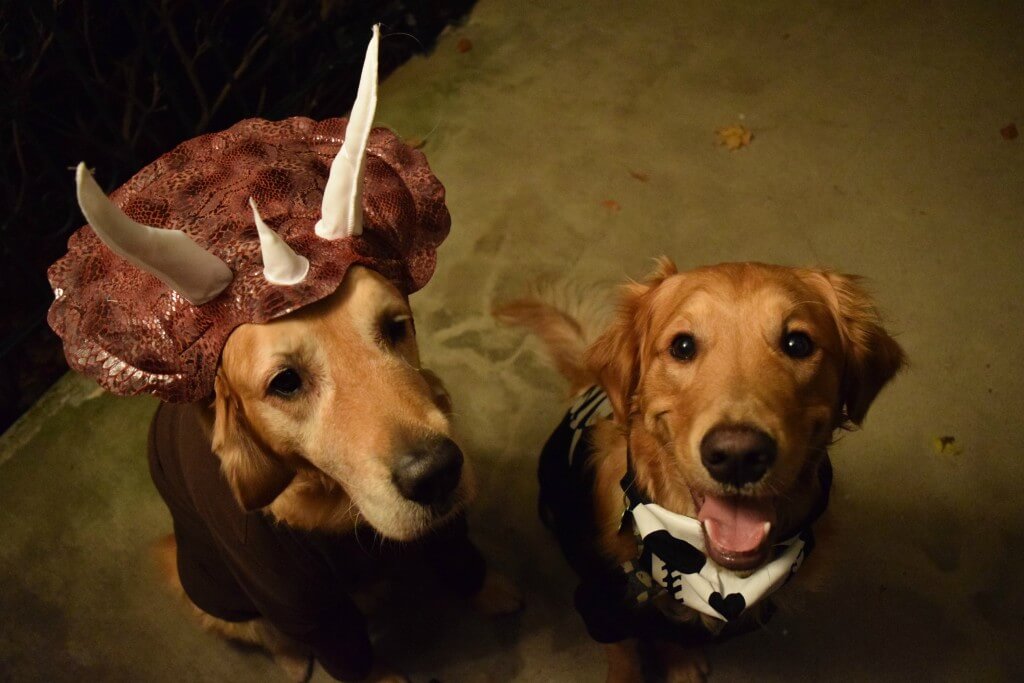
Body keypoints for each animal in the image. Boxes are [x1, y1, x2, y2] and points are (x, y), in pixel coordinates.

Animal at [149, 264, 520, 679]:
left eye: (395, 327)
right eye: (285, 382)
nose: (436, 474)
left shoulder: (448, 527)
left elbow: (458, 552)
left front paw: (490, 590)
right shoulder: (305, 604)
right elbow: (348, 652)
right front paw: (381, 677)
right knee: (270, 636)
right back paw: (294, 662)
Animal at [495, 259, 905, 679]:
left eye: (798, 344)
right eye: (683, 346)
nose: (738, 456)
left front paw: (681, 663)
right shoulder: (601, 607)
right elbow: (625, 658)